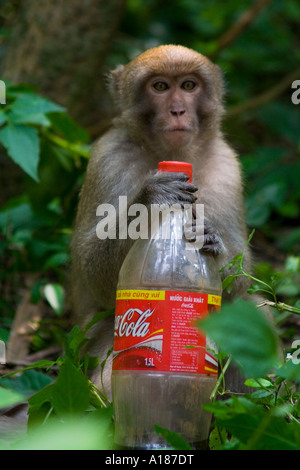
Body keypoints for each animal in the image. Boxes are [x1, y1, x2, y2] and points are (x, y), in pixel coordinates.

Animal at [71, 45, 253, 396]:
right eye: (160, 87)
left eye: (188, 86)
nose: (178, 110)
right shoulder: (108, 159)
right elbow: (91, 270)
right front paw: (154, 196)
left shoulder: (227, 167)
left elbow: (242, 276)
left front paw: (211, 240)